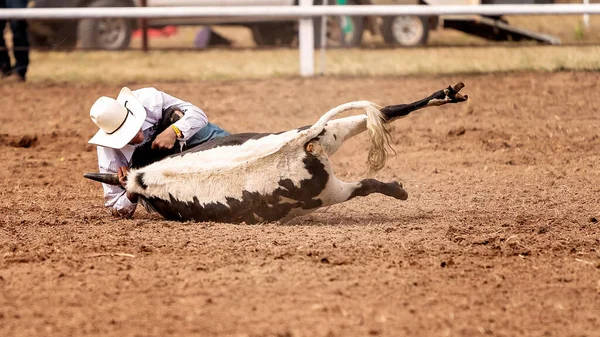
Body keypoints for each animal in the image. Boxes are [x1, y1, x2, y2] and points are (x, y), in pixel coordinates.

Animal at [84, 82, 468, 222]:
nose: (172, 115)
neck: (145, 179)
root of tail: (301, 141)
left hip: (330, 192)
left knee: (365, 185)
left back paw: (399, 192)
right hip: (334, 133)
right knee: (389, 110)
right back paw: (446, 95)